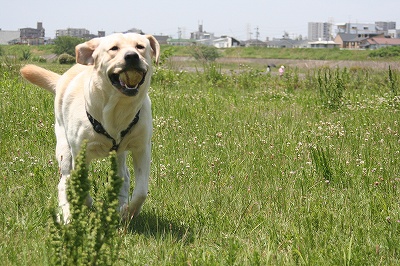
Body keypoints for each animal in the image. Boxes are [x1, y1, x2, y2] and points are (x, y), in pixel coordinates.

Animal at [20, 32, 160, 222]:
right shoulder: (80, 152)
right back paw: (67, 214)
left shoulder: (142, 147)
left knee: (124, 175)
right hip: (64, 147)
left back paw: (120, 205)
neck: (118, 108)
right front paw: (87, 202)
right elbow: (81, 181)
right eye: (114, 48)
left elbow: (141, 191)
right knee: (64, 180)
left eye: (140, 46)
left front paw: (128, 212)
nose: (132, 56)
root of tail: (63, 78)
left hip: (119, 154)